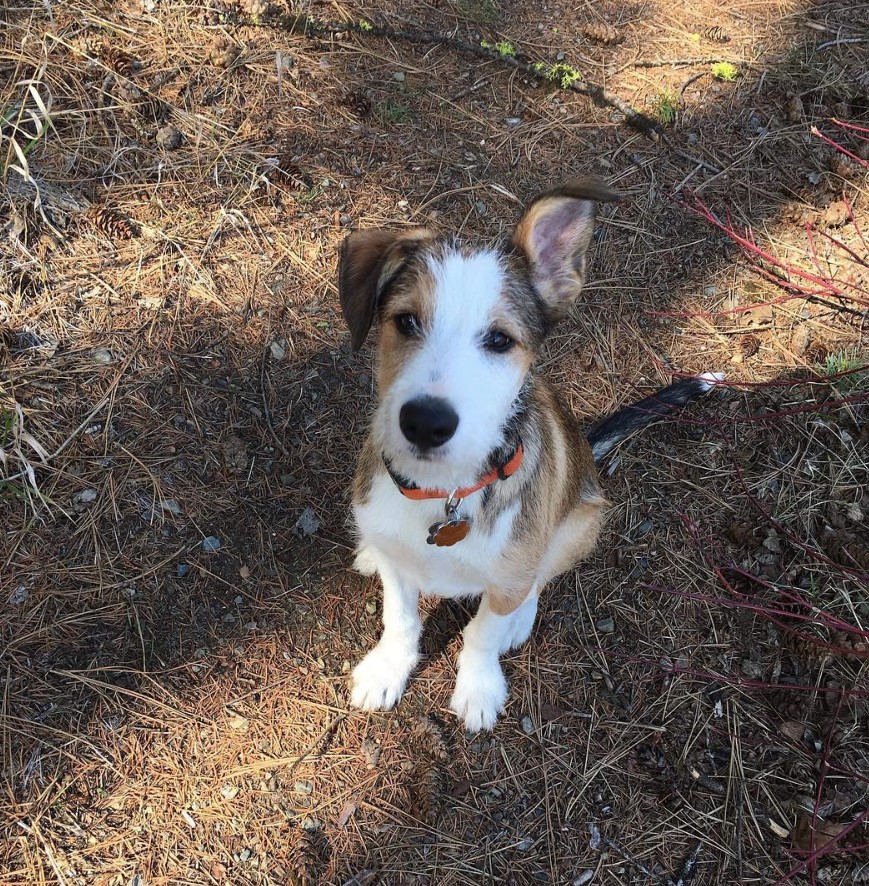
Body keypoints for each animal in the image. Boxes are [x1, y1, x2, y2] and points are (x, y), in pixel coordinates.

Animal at [336, 180, 716, 736]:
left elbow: (482, 633)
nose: (425, 422)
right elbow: (400, 616)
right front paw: (388, 668)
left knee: (542, 573)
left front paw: (477, 688)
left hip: (584, 519)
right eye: (405, 321)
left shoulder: (511, 572)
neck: (445, 491)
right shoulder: (398, 565)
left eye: (500, 340)